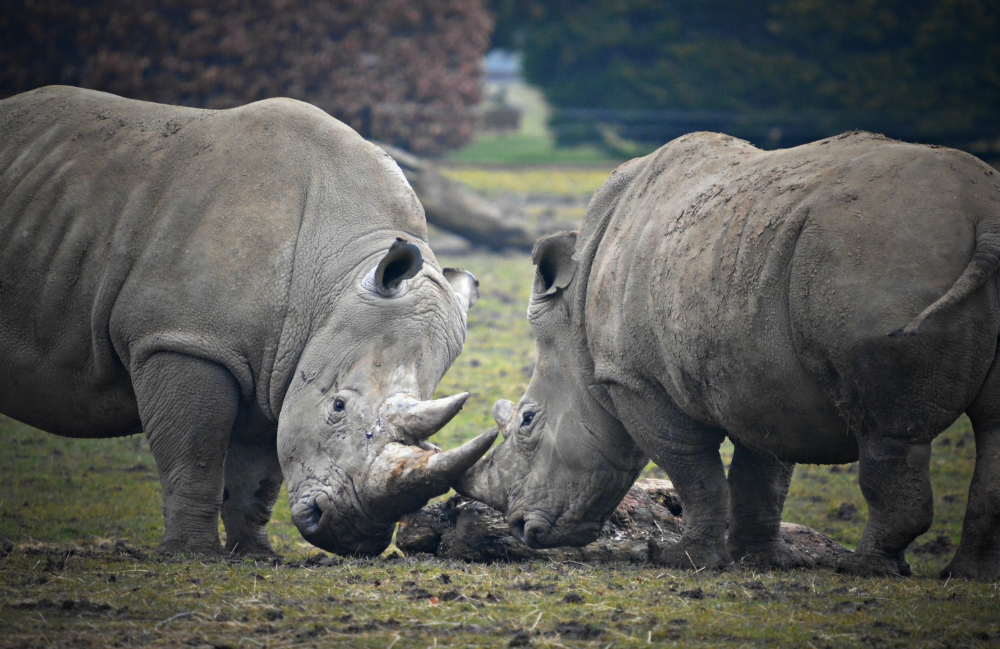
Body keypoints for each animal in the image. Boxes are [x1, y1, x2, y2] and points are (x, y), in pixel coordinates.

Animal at [0, 86, 497, 557]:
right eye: (337, 407)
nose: (351, 535)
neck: (336, 276)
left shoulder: (279, 364)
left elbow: (259, 474)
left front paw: (256, 555)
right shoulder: (185, 338)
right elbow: (194, 452)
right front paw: (191, 555)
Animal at [458, 131, 1000, 578]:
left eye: (528, 421)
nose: (520, 528)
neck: (576, 334)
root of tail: (983, 213)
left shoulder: (634, 380)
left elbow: (693, 471)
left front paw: (683, 560)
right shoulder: (759, 374)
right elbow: (763, 472)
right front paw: (762, 561)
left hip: (875, 252)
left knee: (890, 431)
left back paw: (864, 569)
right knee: (991, 429)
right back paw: (967, 576)